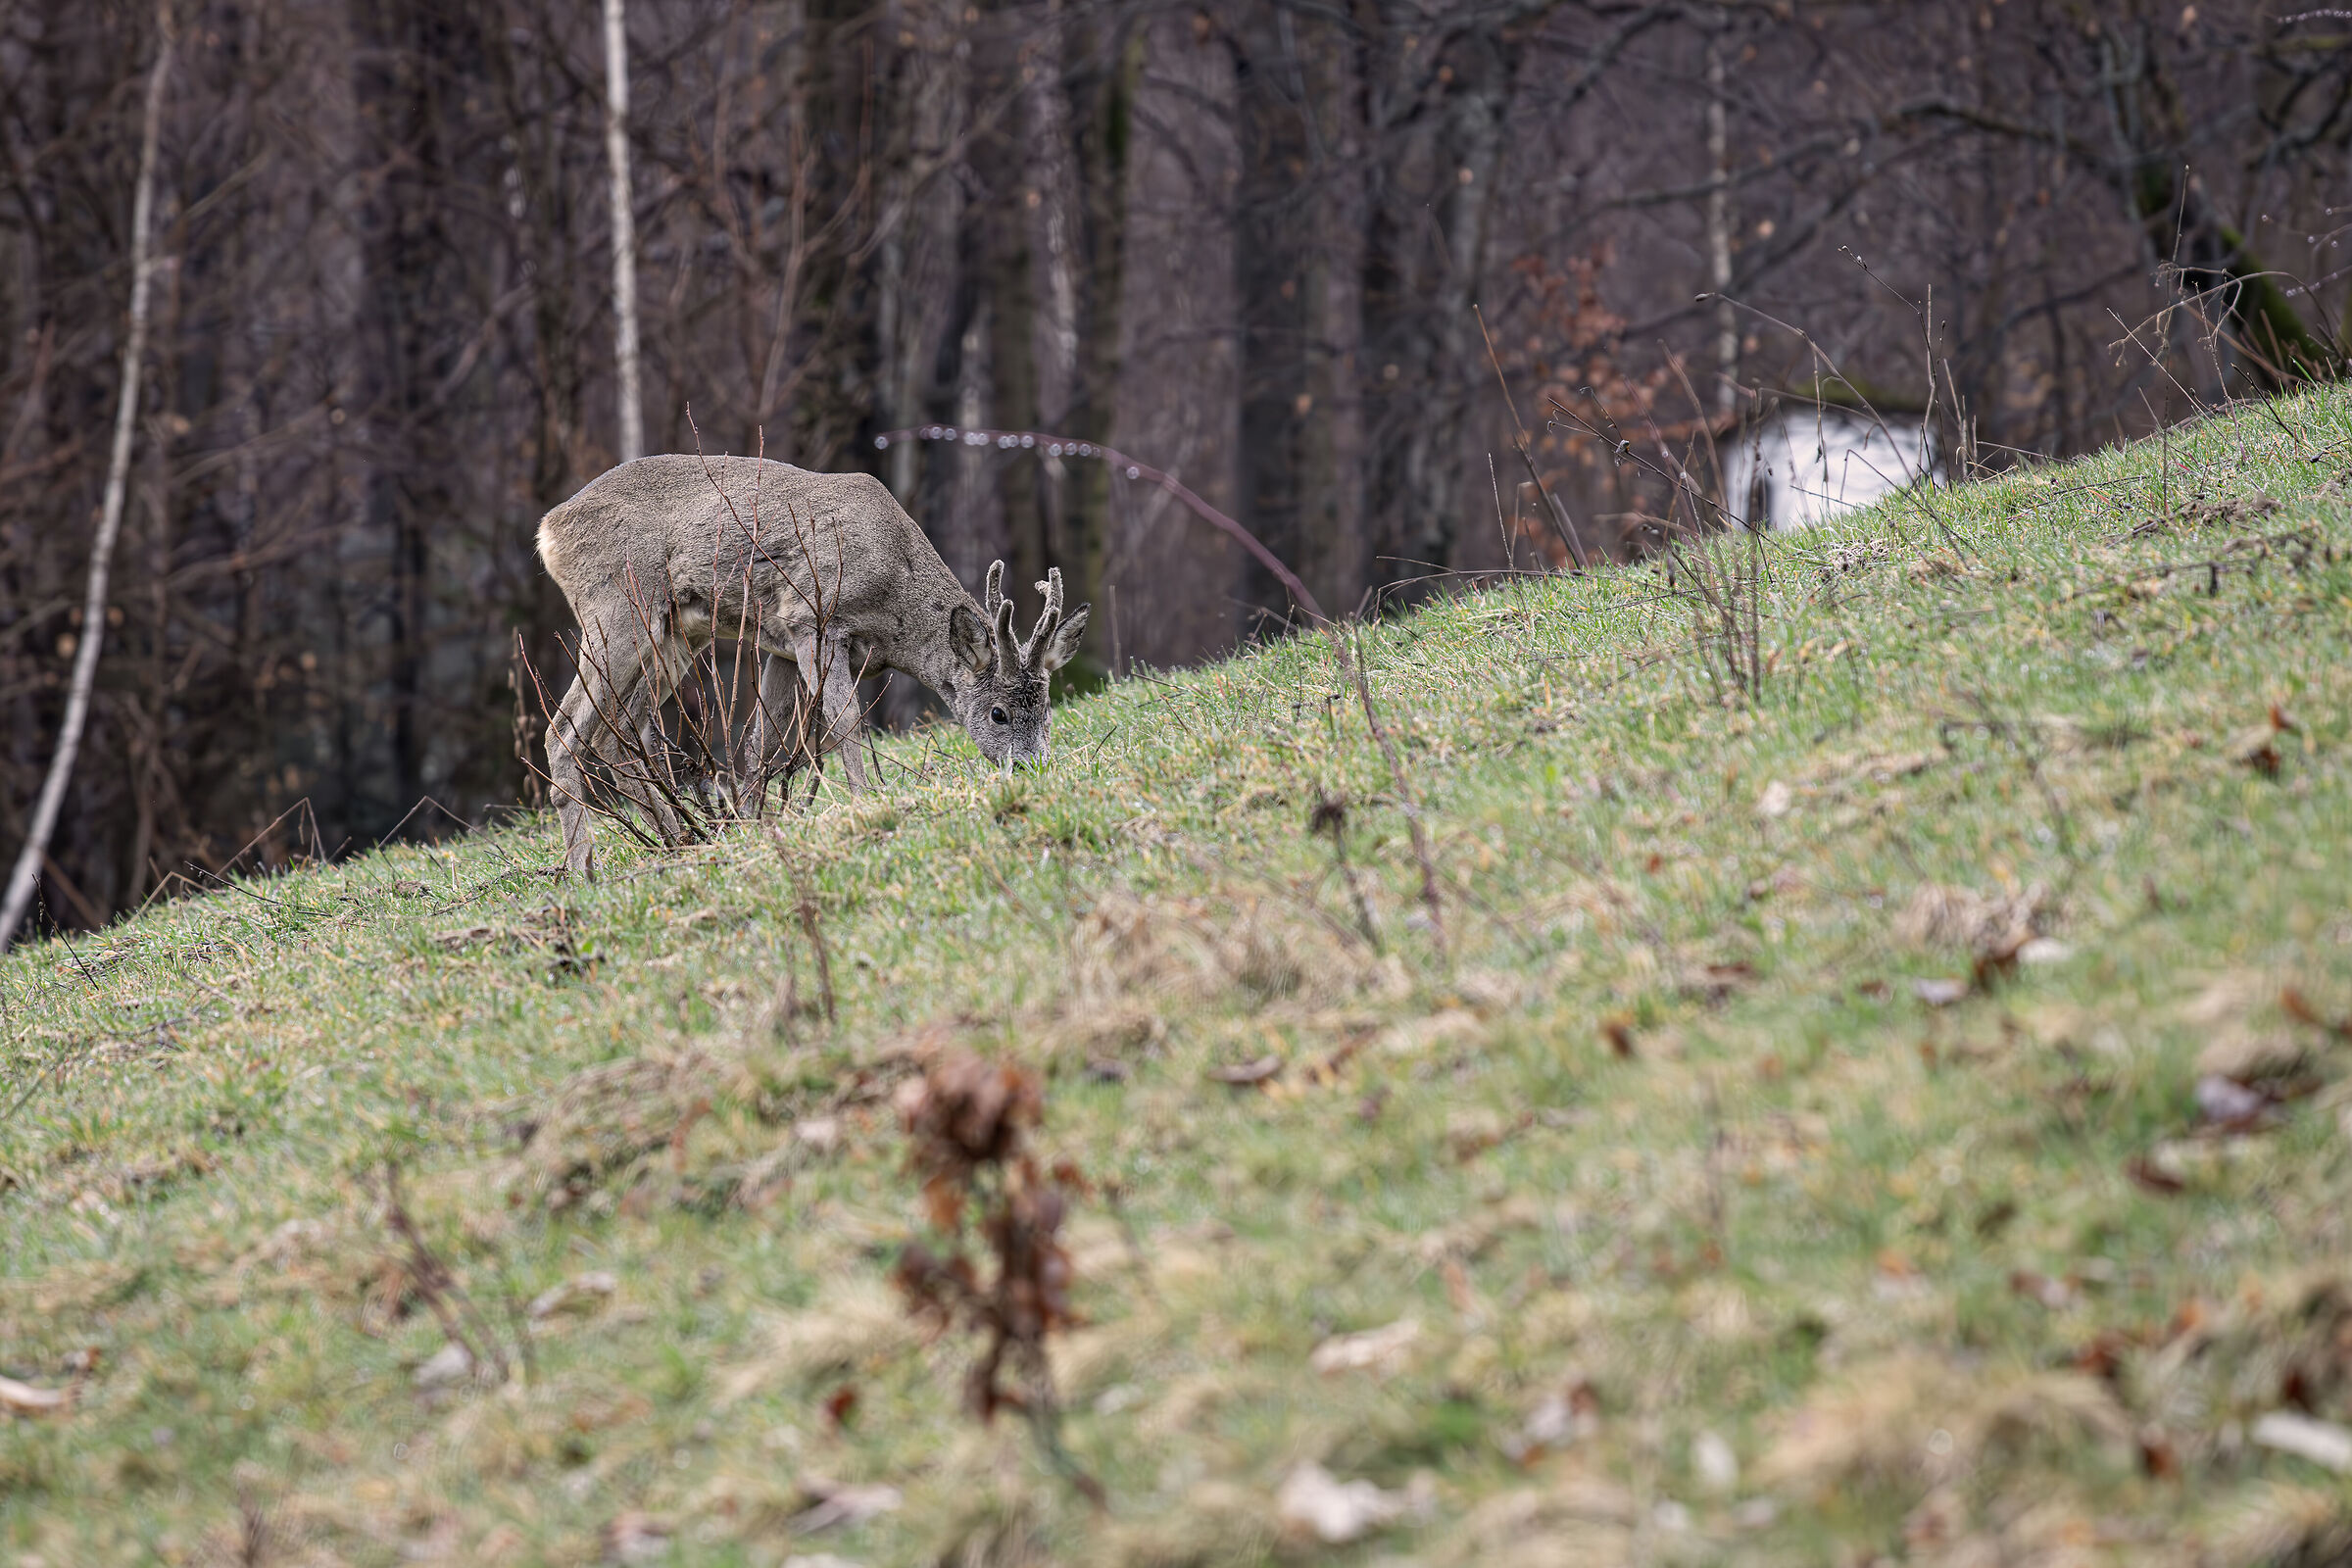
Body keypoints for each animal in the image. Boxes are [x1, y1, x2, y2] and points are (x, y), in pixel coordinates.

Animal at [536, 453, 1088, 879]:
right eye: (997, 713)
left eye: (1046, 708)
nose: (1034, 767)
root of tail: (549, 528)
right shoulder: (813, 620)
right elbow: (845, 722)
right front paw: (870, 802)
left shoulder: (780, 646)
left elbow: (761, 741)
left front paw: (754, 827)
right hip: (617, 613)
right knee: (563, 730)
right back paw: (584, 870)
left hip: (674, 637)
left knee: (619, 730)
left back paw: (680, 841)